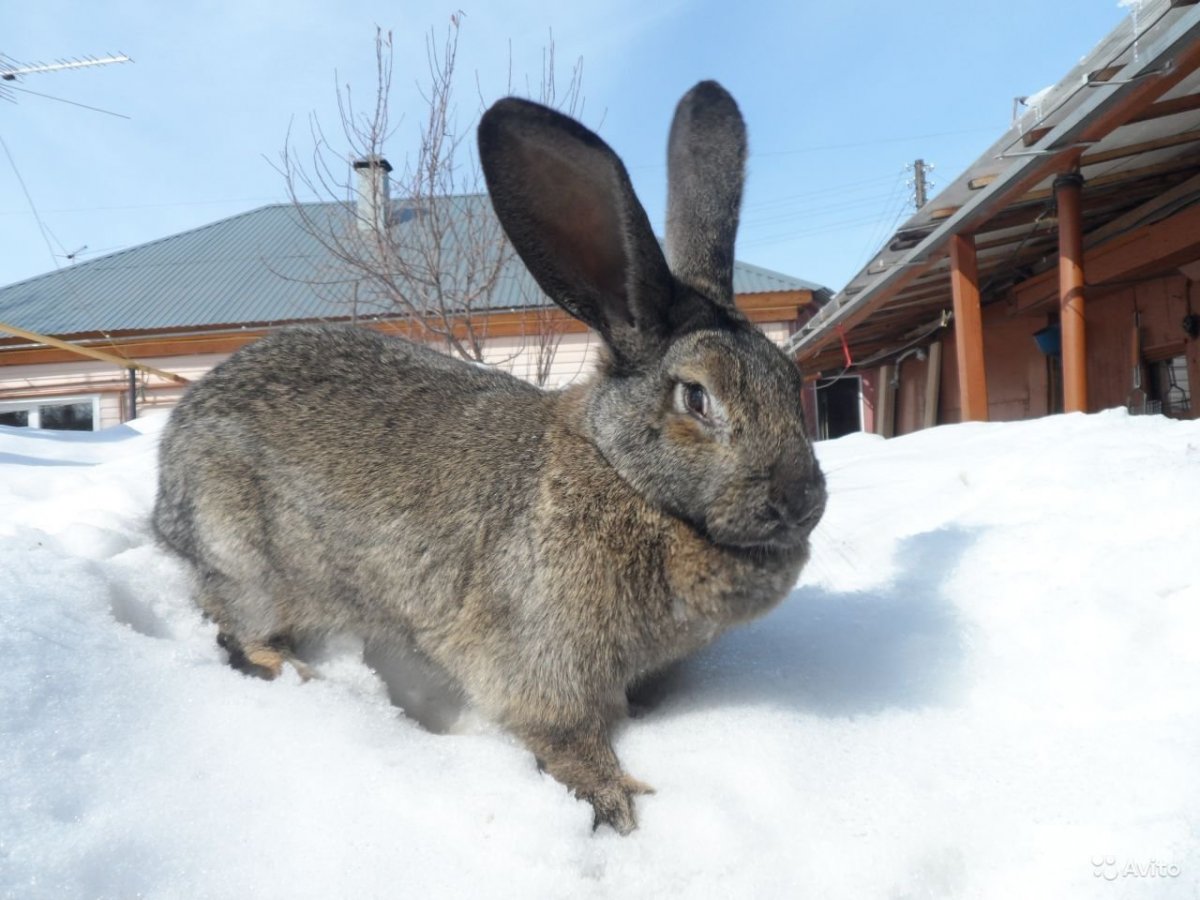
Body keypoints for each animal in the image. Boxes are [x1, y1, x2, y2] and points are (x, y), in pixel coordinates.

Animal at [152, 80, 827, 834]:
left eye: (791, 381)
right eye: (697, 398)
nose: (802, 500)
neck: (620, 475)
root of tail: (169, 474)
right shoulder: (540, 659)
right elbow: (563, 733)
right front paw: (612, 803)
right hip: (247, 560)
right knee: (240, 631)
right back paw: (302, 677)